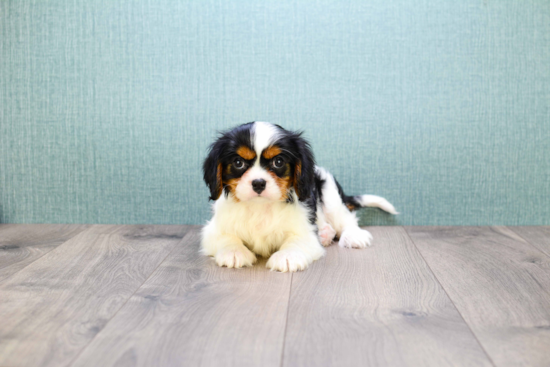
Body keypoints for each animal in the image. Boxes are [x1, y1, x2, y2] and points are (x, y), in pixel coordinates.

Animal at [202, 121, 396, 274]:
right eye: (238, 163)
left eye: (278, 162)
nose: (258, 183)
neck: (260, 206)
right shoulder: (213, 230)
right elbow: (225, 237)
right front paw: (234, 252)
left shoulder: (305, 230)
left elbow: (296, 240)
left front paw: (287, 256)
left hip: (329, 191)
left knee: (345, 219)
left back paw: (353, 235)